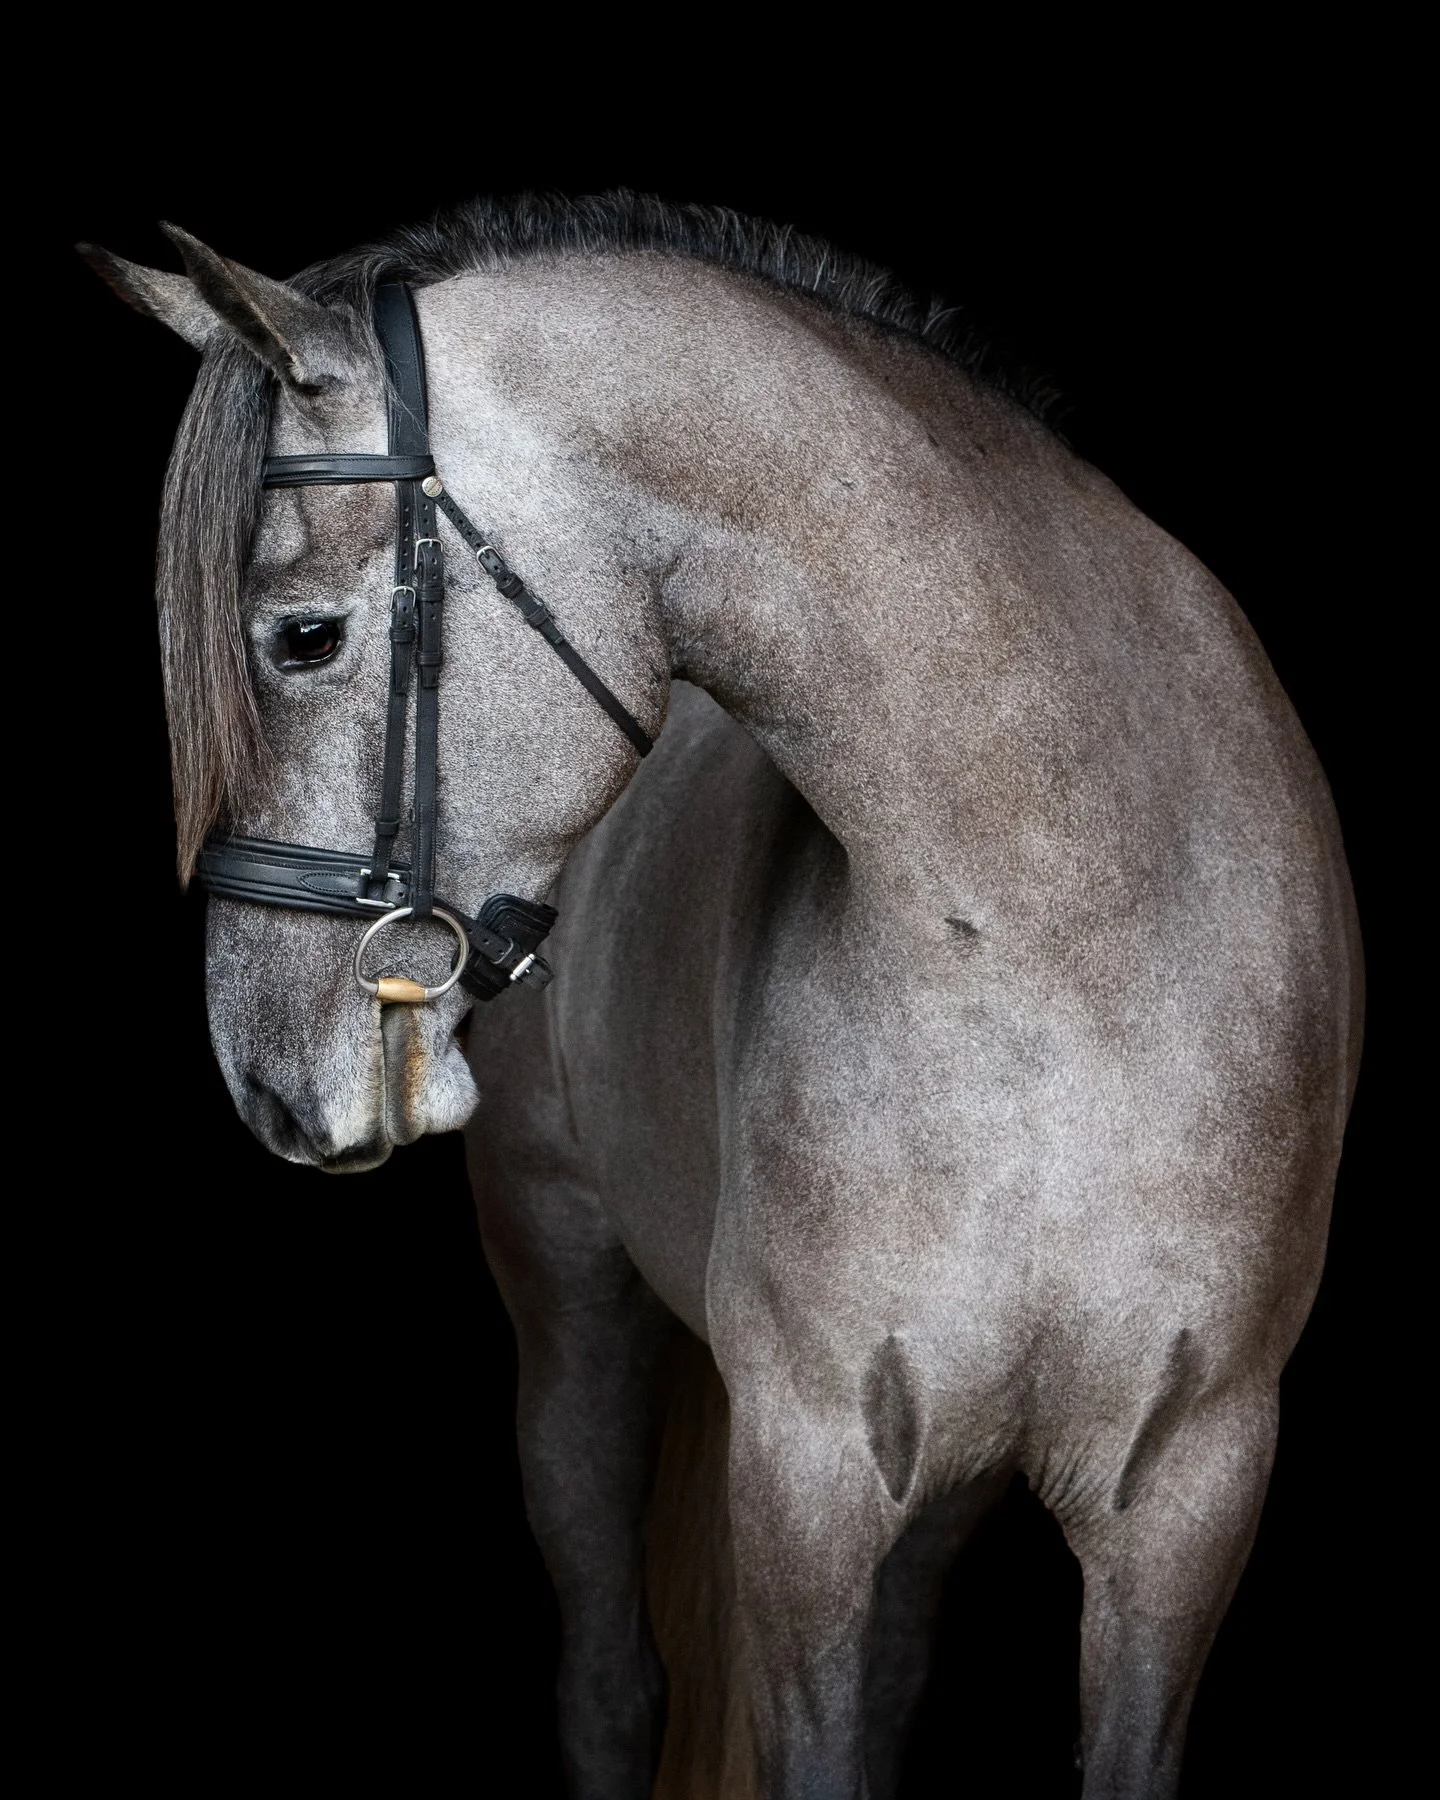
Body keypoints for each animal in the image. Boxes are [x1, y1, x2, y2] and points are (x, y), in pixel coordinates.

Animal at [84, 194, 1361, 1799]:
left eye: (303, 635)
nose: (264, 1079)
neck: (1064, 942)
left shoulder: (1190, 1496)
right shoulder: (805, 1471)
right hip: (574, 1309)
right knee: (611, 1682)